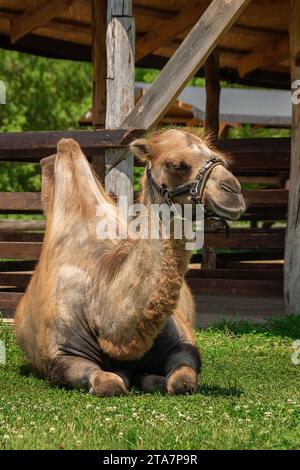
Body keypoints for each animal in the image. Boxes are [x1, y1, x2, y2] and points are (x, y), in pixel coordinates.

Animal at [14, 129, 245, 396]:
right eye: (177, 165)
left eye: (221, 159)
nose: (234, 192)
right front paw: (127, 377)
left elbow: (182, 380)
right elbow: (109, 383)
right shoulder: (62, 354)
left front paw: (150, 378)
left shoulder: (183, 343)